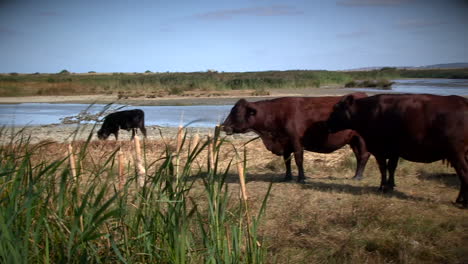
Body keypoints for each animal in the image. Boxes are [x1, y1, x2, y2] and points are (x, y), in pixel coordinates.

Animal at [221, 93, 372, 184]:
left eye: (237, 113)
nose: (224, 126)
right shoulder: (285, 143)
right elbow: (287, 161)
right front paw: (287, 177)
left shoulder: (296, 141)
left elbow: (299, 160)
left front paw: (301, 178)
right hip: (353, 140)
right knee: (359, 156)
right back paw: (356, 175)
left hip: (361, 138)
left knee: (364, 155)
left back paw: (358, 177)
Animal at [326, 94, 468, 207]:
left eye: (336, 109)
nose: (326, 124)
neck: (369, 111)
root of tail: (462, 101)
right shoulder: (394, 151)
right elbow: (391, 167)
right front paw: (390, 186)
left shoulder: (380, 149)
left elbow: (383, 168)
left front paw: (382, 187)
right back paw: (460, 200)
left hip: (457, 153)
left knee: (464, 173)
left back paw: (463, 203)